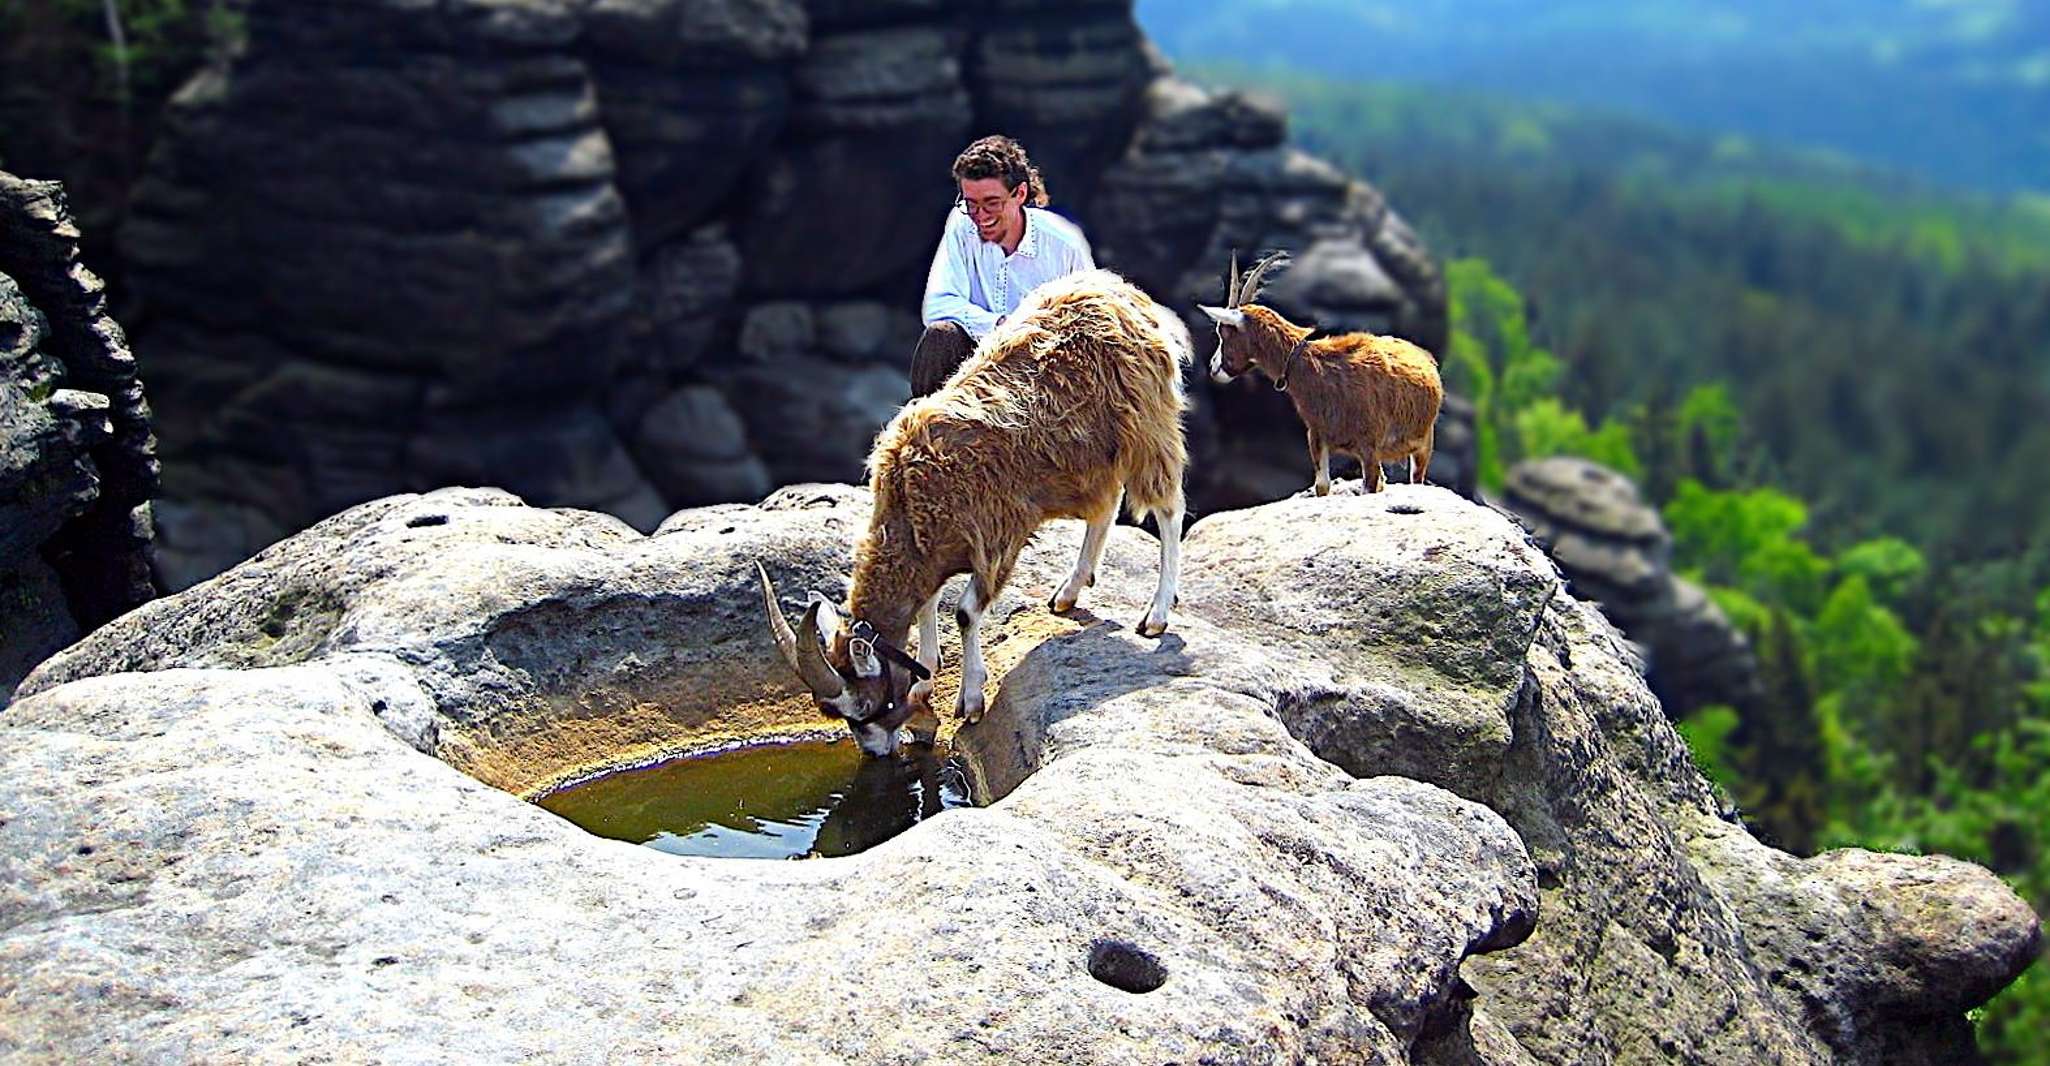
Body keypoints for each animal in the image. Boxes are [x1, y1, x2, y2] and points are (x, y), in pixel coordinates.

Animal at [759, 269, 1191, 756]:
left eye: (865, 706)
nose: (874, 752)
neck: (910, 502)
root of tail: (1121, 293)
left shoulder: (997, 535)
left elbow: (965, 612)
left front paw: (969, 700)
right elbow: (927, 603)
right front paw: (925, 677)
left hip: (1147, 426)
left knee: (1169, 508)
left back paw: (1156, 615)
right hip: (1095, 452)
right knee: (1107, 503)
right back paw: (1069, 591)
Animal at [1200, 252, 1442, 495]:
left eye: (1223, 332)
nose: (1213, 367)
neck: (1315, 364)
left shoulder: (1370, 446)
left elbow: (1368, 487)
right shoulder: (1317, 436)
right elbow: (1323, 486)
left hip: (1423, 443)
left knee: (1416, 478)